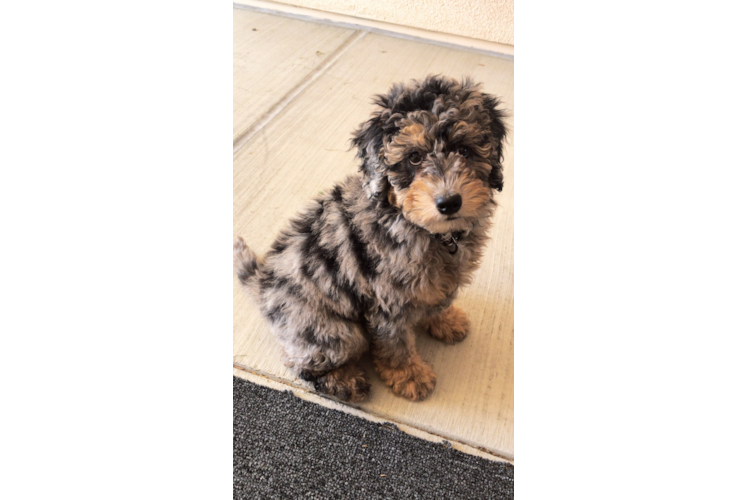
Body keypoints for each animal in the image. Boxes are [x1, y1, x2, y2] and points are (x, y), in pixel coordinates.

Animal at [234, 74, 508, 402]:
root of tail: (262, 282)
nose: (449, 202)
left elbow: (439, 298)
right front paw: (410, 376)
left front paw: (446, 321)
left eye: (465, 151)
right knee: (302, 363)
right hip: (333, 331)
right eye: (414, 157)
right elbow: (395, 342)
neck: (425, 230)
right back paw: (345, 382)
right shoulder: (387, 298)